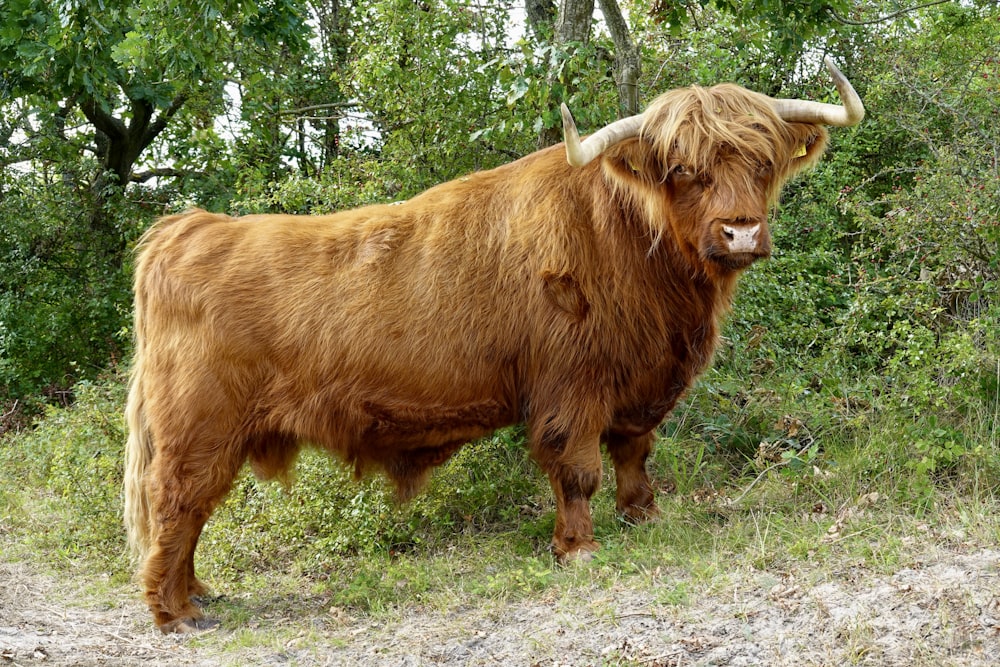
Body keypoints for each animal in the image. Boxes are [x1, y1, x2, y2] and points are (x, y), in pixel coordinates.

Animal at [123, 57, 860, 632]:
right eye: (683, 169)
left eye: (762, 162)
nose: (741, 231)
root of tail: (186, 229)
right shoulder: (571, 384)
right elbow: (577, 467)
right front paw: (579, 547)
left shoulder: (638, 381)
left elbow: (634, 452)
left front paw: (644, 515)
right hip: (201, 426)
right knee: (177, 502)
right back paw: (174, 612)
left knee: (189, 512)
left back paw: (199, 595)